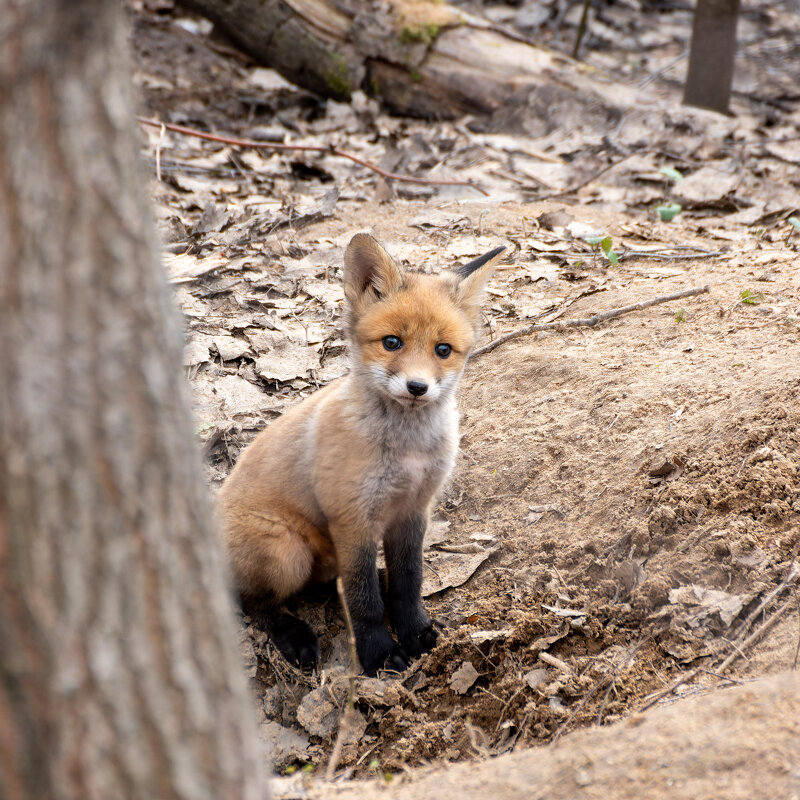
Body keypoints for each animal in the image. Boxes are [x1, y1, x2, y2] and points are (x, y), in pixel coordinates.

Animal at [217, 233, 506, 676]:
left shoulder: (414, 509)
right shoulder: (352, 518)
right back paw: (293, 635)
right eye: (392, 343)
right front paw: (380, 654)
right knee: (253, 602)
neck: (406, 452)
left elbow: (409, 580)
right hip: (287, 551)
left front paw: (414, 629)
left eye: (443, 350)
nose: (417, 387)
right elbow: (362, 599)